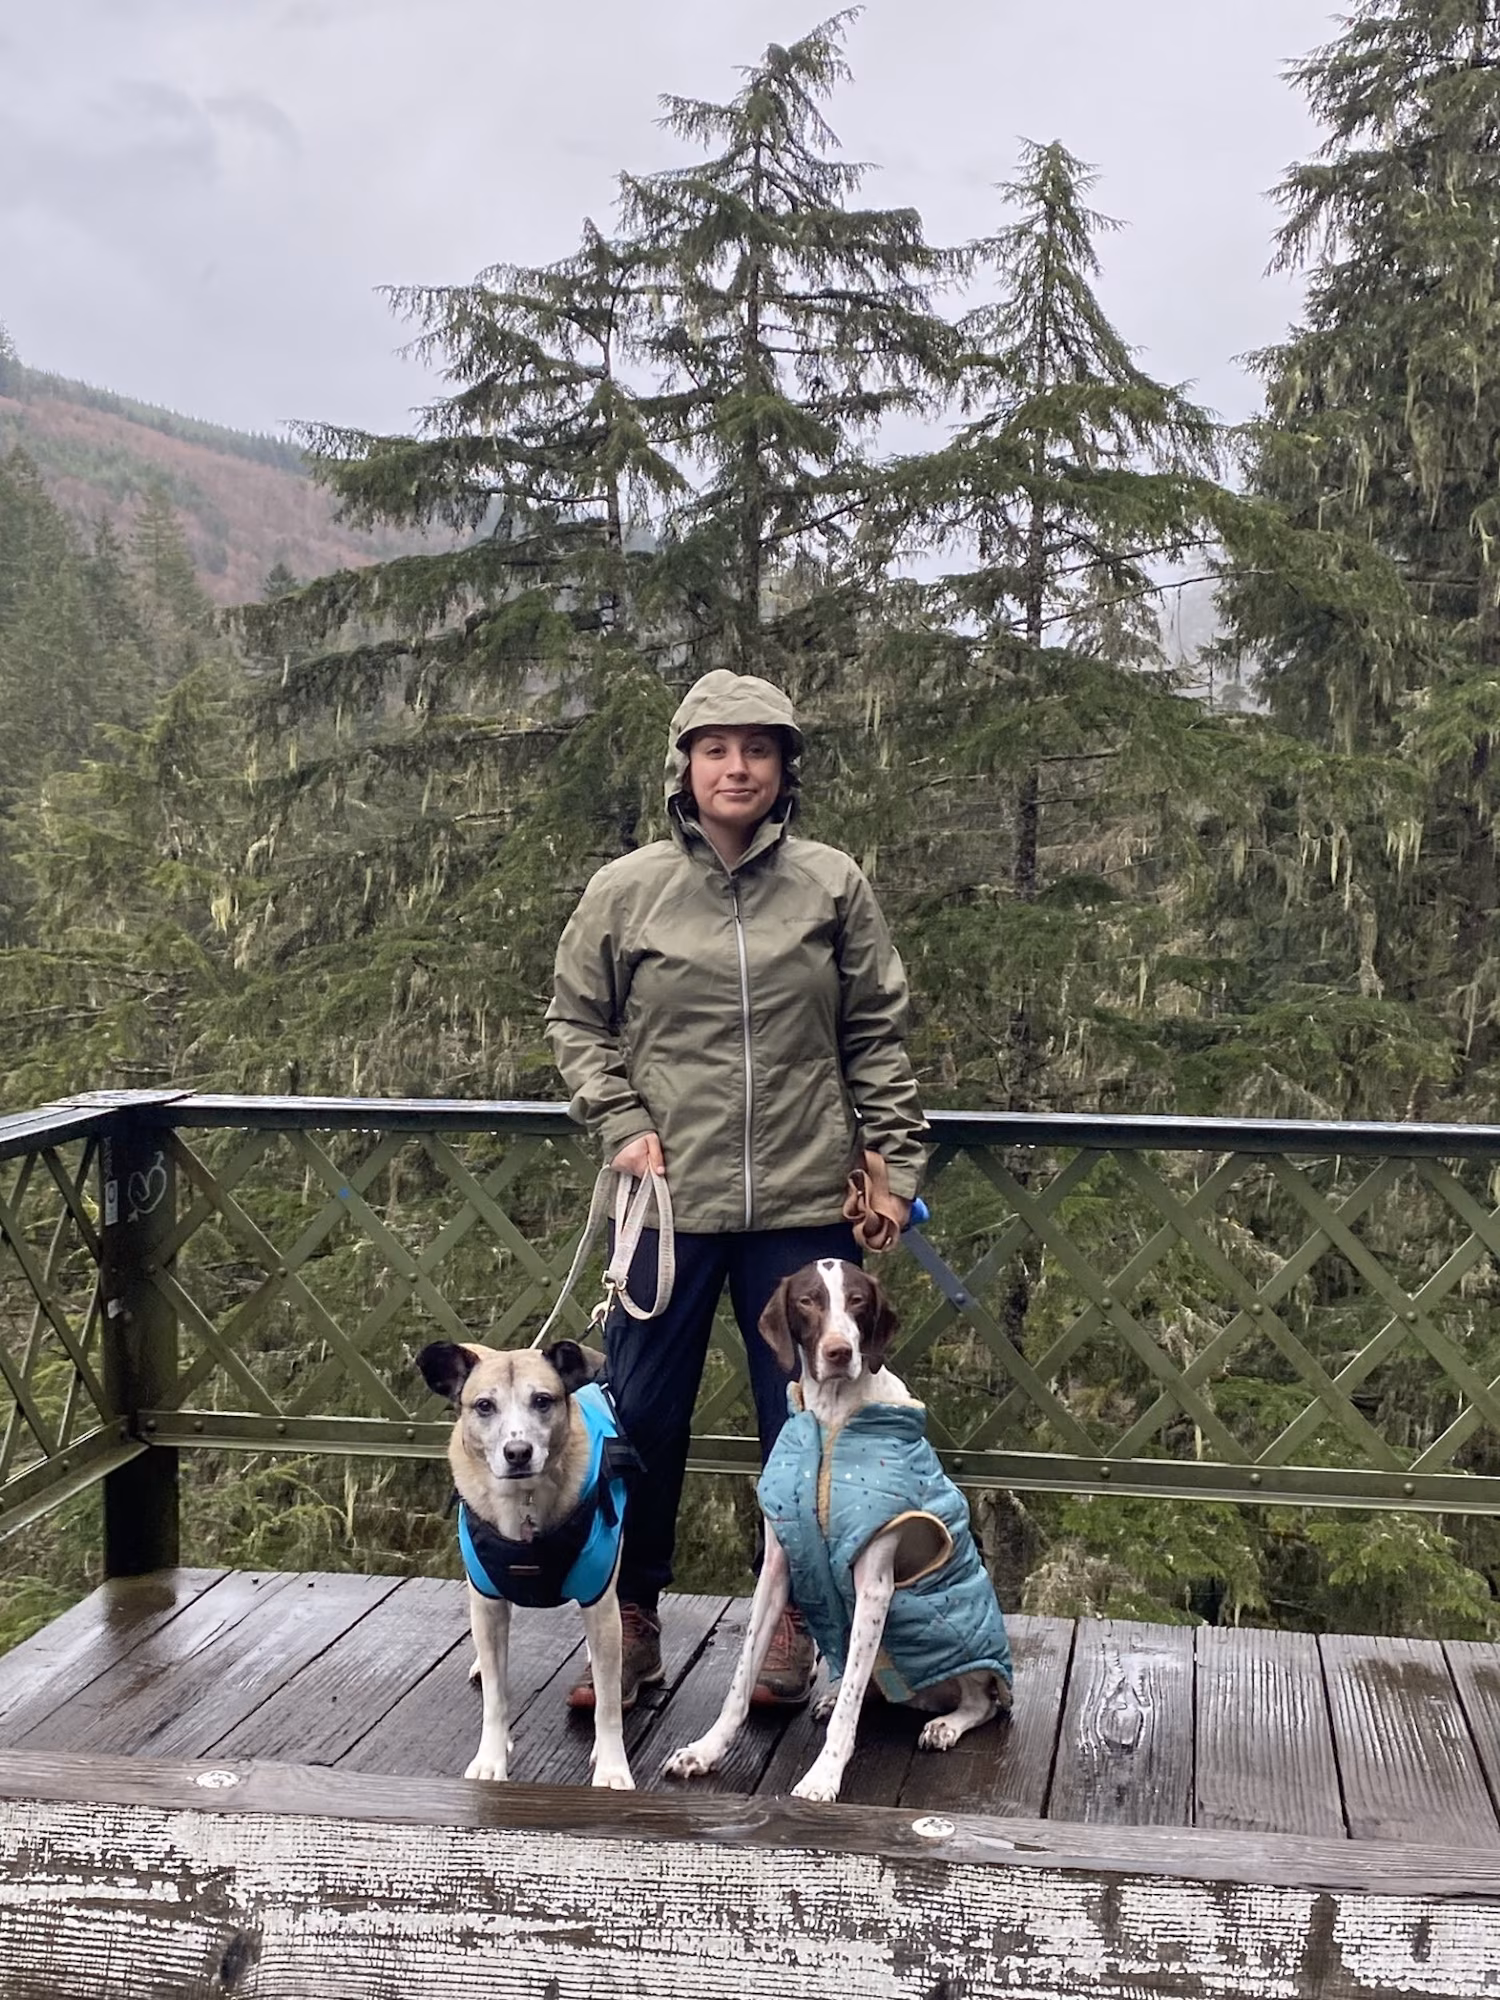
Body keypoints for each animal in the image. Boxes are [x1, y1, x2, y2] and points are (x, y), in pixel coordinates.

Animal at [416, 1337, 636, 1791]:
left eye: (542, 1400)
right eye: (484, 1405)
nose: (517, 1452)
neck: (525, 1504)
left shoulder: (600, 1603)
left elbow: (607, 1703)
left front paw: (611, 1767)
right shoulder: (487, 1602)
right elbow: (495, 1699)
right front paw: (490, 1758)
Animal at [664, 1259, 1012, 1803]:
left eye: (858, 1301)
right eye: (807, 1301)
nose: (839, 1352)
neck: (831, 1423)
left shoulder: (875, 1587)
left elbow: (848, 1711)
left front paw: (823, 1776)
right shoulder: (776, 1571)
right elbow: (740, 1683)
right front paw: (707, 1749)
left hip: (964, 1650)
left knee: (982, 1701)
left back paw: (945, 1725)